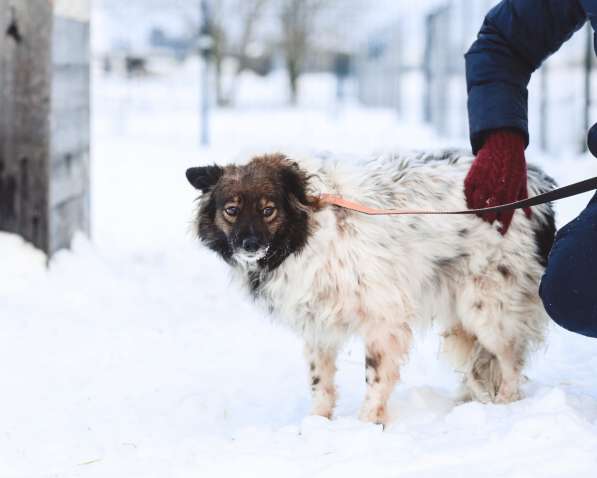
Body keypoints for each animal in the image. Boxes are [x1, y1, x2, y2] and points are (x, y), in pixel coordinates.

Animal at [185, 151, 556, 424]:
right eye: (231, 210)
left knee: (510, 360)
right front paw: (317, 423)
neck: (310, 232)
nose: (249, 245)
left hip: (487, 310)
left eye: (268, 210)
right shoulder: (318, 324)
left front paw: (368, 423)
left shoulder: (383, 319)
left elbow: (375, 376)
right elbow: (320, 381)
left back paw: (505, 406)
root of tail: (536, 186)